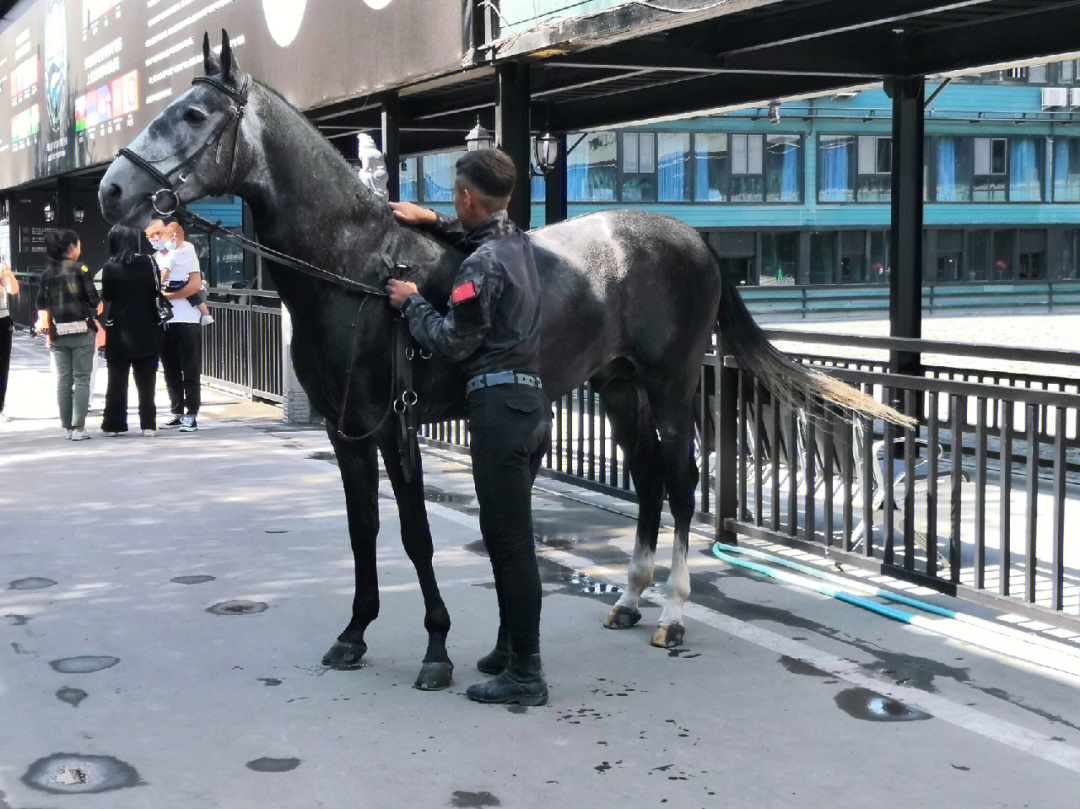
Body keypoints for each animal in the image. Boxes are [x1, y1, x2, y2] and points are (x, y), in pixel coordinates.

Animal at [101, 29, 911, 686]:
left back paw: (672, 613)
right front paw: (354, 633)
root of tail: (695, 238)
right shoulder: (346, 430)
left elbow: (415, 535)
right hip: (619, 387)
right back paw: (628, 598)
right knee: (649, 480)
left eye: (194, 115)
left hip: (674, 385)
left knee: (682, 485)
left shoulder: (395, 427)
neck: (357, 264)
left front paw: (436, 649)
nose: (112, 189)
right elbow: (364, 533)